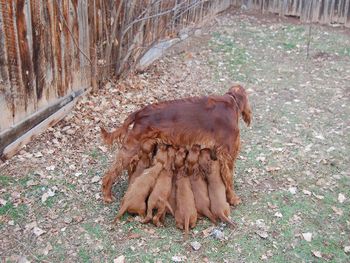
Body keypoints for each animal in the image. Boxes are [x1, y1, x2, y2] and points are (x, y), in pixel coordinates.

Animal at [101, 85, 252, 205]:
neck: (231, 102)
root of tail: (139, 112)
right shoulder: (227, 154)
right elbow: (229, 178)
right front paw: (233, 199)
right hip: (132, 146)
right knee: (112, 171)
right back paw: (107, 195)